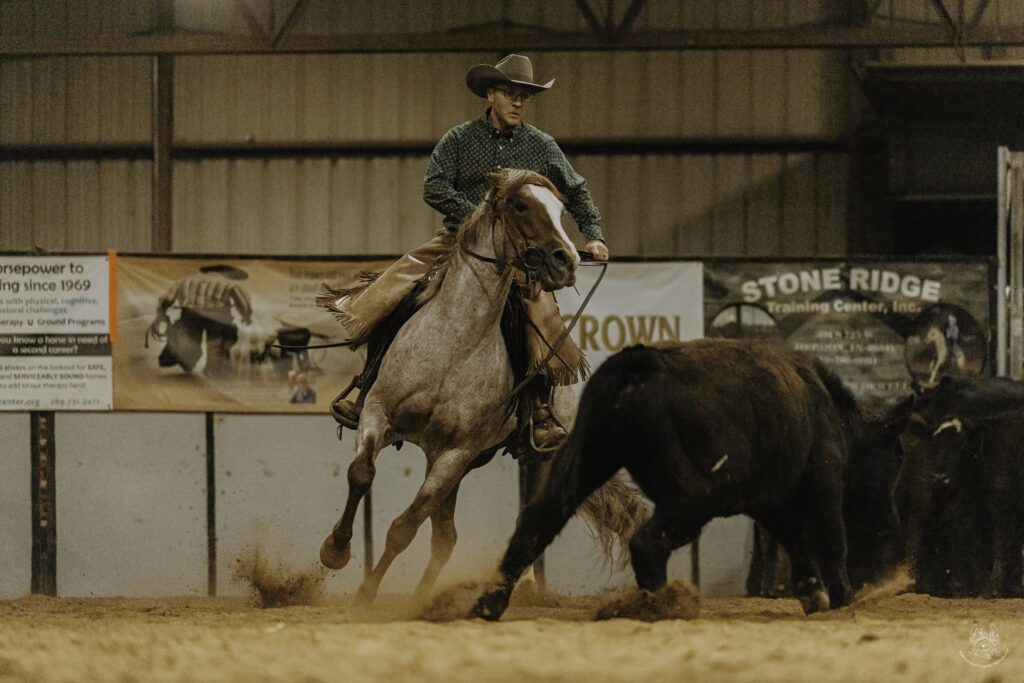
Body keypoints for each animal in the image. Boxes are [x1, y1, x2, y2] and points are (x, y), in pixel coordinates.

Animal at [316, 169, 590, 605]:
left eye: (562, 210)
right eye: (521, 205)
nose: (567, 260)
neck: (455, 341)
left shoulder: (456, 453)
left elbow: (404, 528)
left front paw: (366, 593)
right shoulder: (378, 414)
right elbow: (361, 474)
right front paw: (335, 550)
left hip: (531, 460)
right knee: (445, 536)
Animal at [473, 339, 862, 620]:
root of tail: (642, 365)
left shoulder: (771, 500)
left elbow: (794, 538)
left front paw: (814, 593)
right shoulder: (823, 484)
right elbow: (830, 539)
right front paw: (841, 597)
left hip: (585, 461)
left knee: (536, 523)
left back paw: (488, 606)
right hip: (693, 499)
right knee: (647, 543)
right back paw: (661, 606)